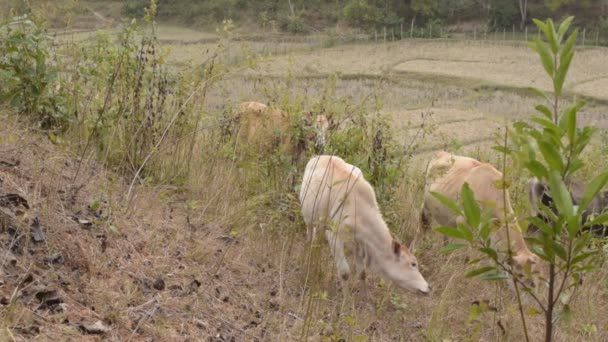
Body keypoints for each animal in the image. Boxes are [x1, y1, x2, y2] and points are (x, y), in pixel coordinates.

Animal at [300, 155, 432, 294]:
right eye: (413, 264)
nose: (428, 286)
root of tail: (321, 156)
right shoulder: (334, 237)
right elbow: (344, 273)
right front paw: (347, 299)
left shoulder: (359, 243)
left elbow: (362, 273)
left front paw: (365, 297)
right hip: (308, 218)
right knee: (310, 236)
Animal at [420, 151, 540, 290]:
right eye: (520, 274)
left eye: (536, 275)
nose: (530, 290)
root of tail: (442, 153)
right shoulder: (462, 222)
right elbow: (470, 254)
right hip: (426, 207)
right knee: (423, 225)